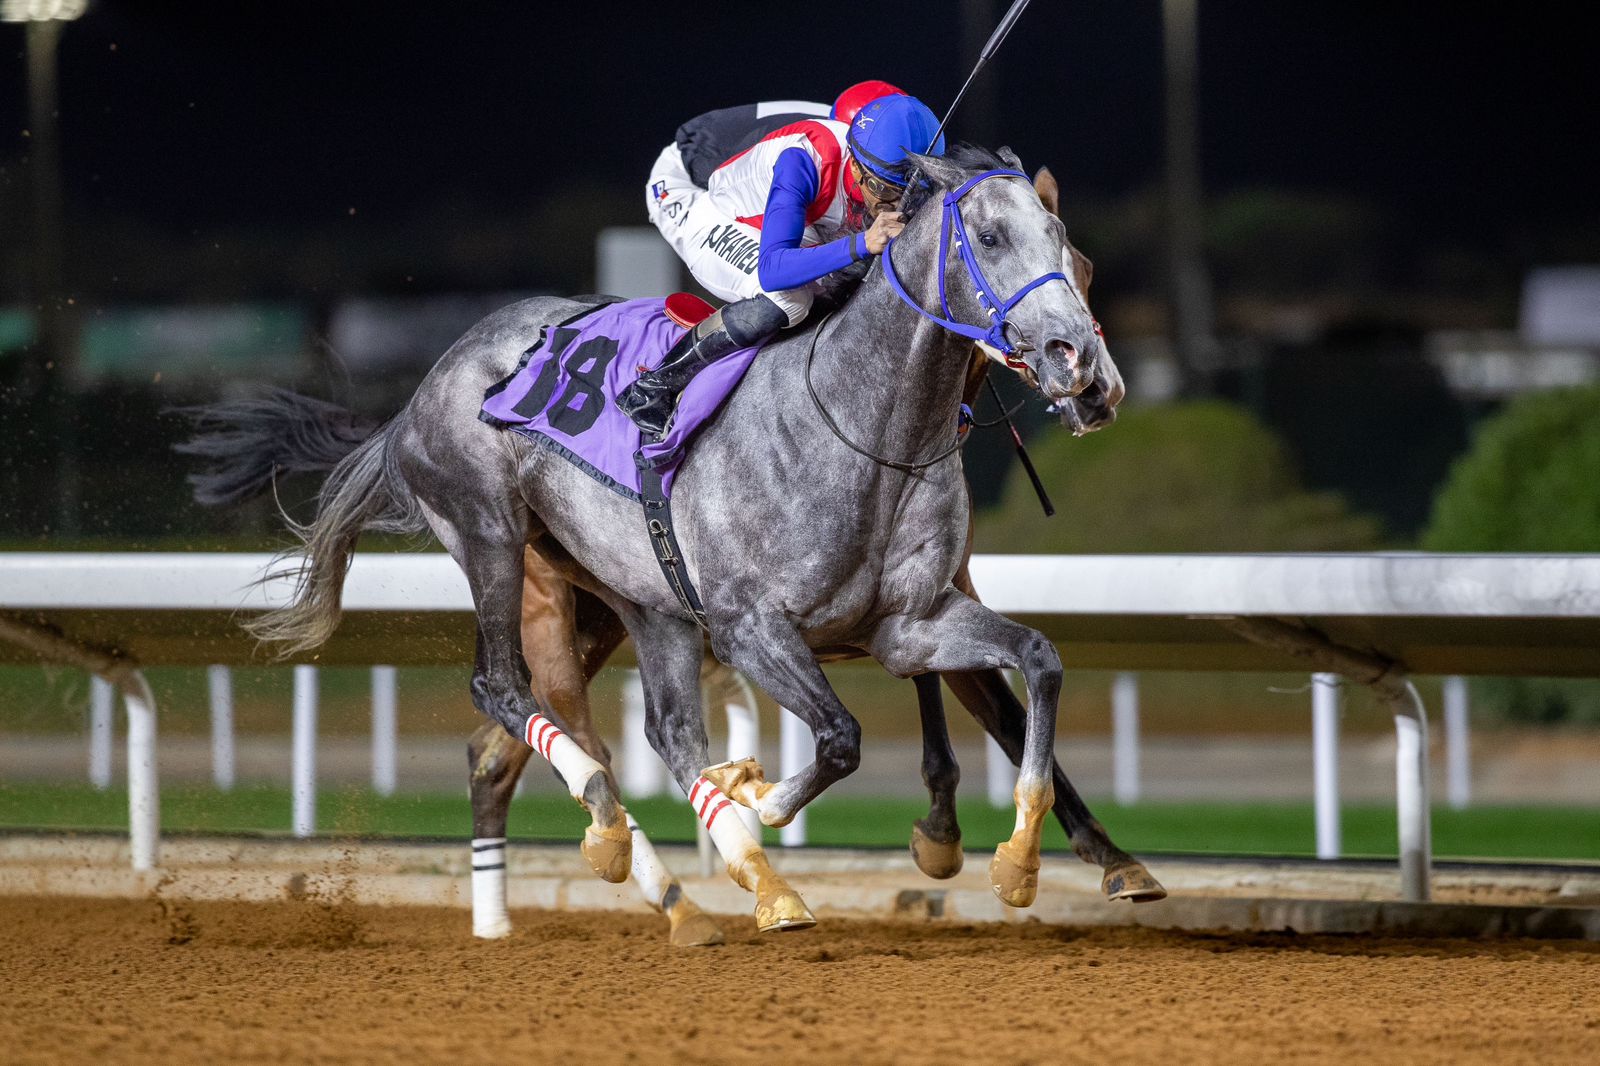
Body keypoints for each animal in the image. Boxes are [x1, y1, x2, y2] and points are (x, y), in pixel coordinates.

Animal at [240, 144, 1162, 932]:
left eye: (1067, 245)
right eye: (992, 237)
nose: (1082, 368)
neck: (869, 429)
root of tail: (426, 383)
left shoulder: (912, 620)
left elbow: (1036, 663)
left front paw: (1030, 862)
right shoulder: (752, 627)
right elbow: (841, 738)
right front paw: (764, 798)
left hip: (630, 599)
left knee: (651, 733)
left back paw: (734, 887)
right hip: (494, 538)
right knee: (509, 692)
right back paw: (624, 836)